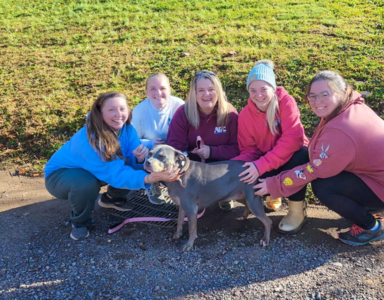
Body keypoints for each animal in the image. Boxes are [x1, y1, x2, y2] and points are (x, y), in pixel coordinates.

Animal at [144, 144, 272, 252]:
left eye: (162, 156)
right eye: (149, 153)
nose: (147, 162)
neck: (179, 175)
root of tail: (252, 167)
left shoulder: (191, 209)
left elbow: (192, 229)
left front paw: (189, 245)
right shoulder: (182, 206)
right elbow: (179, 220)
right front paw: (178, 234)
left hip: (252, 200)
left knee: (267, 221)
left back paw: (265, 239)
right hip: (240, 195)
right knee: (247, 206)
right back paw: (243, 216)